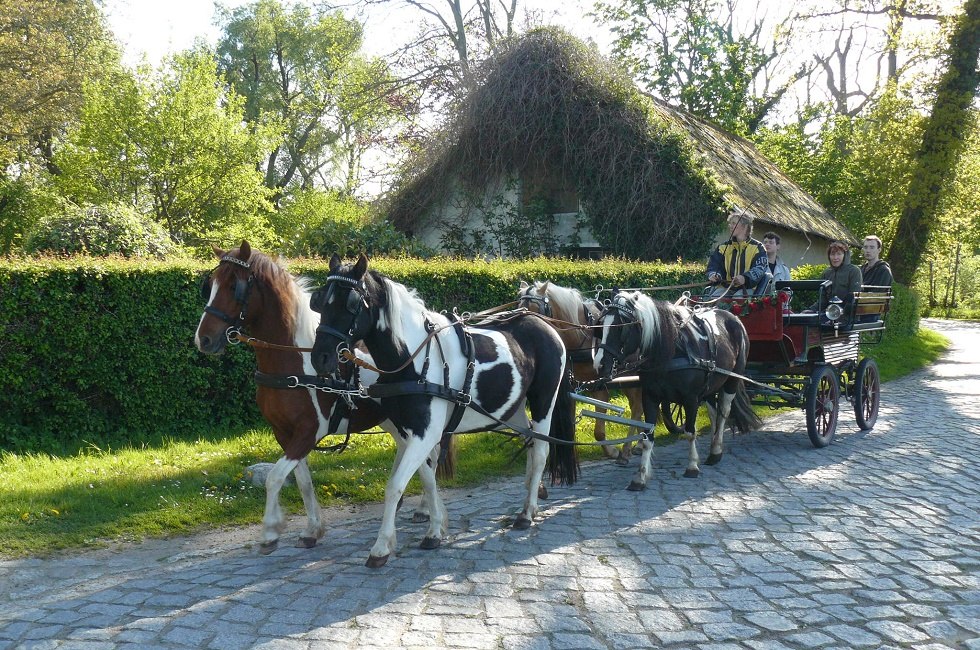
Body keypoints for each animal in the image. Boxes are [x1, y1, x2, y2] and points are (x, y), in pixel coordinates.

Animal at [193, 240, 454, 556]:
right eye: (210, 286)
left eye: (235, 287)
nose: (204, 339)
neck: (292, 359)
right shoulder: (284, 433)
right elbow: (302, 482)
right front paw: (311, 530)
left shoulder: (310, 431)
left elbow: (275, 477)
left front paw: (270, 530)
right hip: (392, 420)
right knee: (414, 455)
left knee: (429, 456)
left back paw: (428, 511)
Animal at [310, 253, 580, 568]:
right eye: (320, 301)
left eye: (351, 303)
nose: (320, 358)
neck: (414, 360)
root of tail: (545, 324)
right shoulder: (411, 432)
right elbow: (427, 480)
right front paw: (435, 530)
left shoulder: (425, 433)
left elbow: (396, 485)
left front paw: (381, 547)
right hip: (511, 408)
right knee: (528, 443)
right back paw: (532, 498)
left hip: (543, 402)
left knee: (539, 451)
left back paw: (526, 513)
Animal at [592, 288, 760, 486]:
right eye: (600, 325)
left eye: (621, 327)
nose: (599, 364)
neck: (671, 350)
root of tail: (732, 316)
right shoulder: (650, 396)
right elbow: (647, 437)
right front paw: (640, 477)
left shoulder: (690, 398)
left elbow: (690, 431)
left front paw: (692, 466)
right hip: (711, 384)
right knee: (714, 413)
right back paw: (712, 445)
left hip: (732, 379)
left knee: (724, 411)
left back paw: (716, 451)